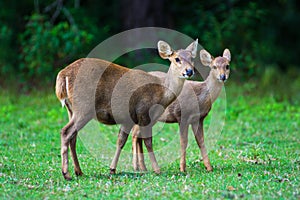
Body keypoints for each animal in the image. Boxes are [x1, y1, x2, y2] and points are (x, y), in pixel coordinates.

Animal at [55, 39, 198, 180]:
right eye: (177, 59)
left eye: (192, 58)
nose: (189, 71)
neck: (161, 93)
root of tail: (63, 75)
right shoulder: (143, 113)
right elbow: (148, 142)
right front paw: (157, 170)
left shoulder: (128, 119)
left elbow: (121, 141)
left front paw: (112, 169)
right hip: (83, 107)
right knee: (66, 132)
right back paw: (66, 173)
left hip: (71, 109)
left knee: (73, 136)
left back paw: (78, 171)